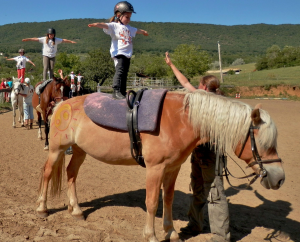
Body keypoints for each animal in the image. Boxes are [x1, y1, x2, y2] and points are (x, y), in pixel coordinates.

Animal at [36, 90, 284, 242]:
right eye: (263, 143)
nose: (279, 178)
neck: (178, 120)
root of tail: (62, 103)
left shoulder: (172, 169)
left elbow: (168, 199)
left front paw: (171, 232)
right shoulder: (155, 169)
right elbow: (153, 201)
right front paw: (151, 235)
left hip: (79, 150)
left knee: (71, 174)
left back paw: (76, 209)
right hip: (57, 149)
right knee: (47, 174)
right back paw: (42, 208)